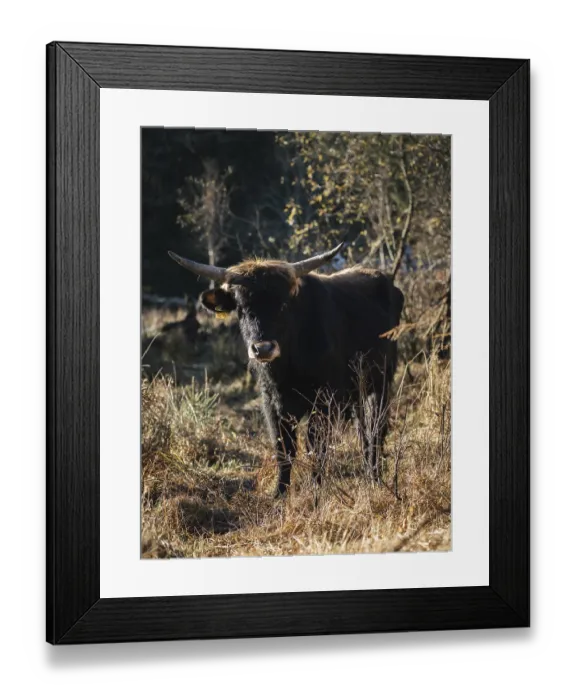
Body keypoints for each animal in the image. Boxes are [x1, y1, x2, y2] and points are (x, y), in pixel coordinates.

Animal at [169, 244, 404, 498]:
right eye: (240, 308)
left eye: (282, 305)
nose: (263, 348)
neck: (287, 368)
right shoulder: (272, 403)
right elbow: (283, 448)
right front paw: (279, 493)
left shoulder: (324, 401)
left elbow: (316, 447)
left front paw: (315, 490)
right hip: (357, 392)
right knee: (363, 431)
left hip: (380, 383)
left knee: (377, 429)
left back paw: (375, 477)